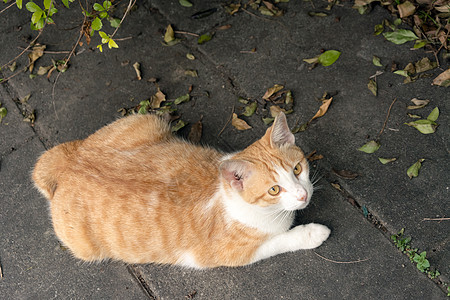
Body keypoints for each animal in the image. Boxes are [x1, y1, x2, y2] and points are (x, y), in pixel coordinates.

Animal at [32, 112, 330, 268]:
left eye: (297, 169)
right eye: (274, 190)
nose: (303, 195)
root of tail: (70, 164)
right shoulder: (232, 254)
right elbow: (280, 241)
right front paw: (312, 233)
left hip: (146, 119)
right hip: (85, 248)